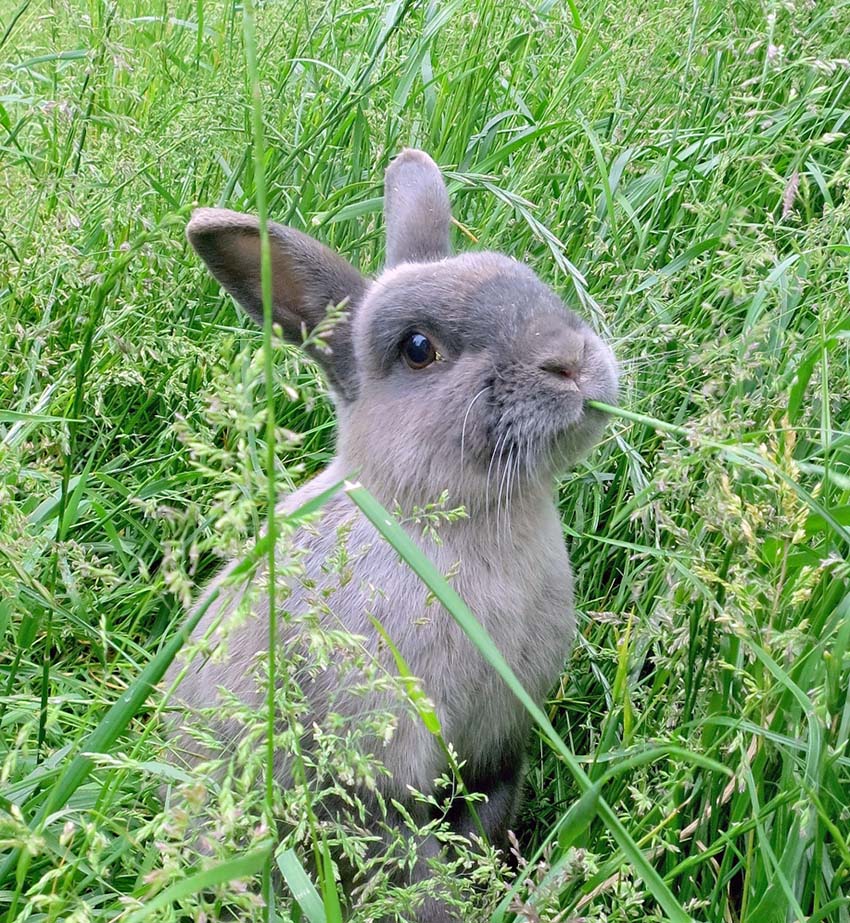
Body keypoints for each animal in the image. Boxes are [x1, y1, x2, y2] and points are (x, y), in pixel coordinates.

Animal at [166, 148, 616, 920]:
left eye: (533, 280)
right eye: (417, 349)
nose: (570, 360)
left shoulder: (498, 754)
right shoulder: (381, 776)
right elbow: (410, 863)